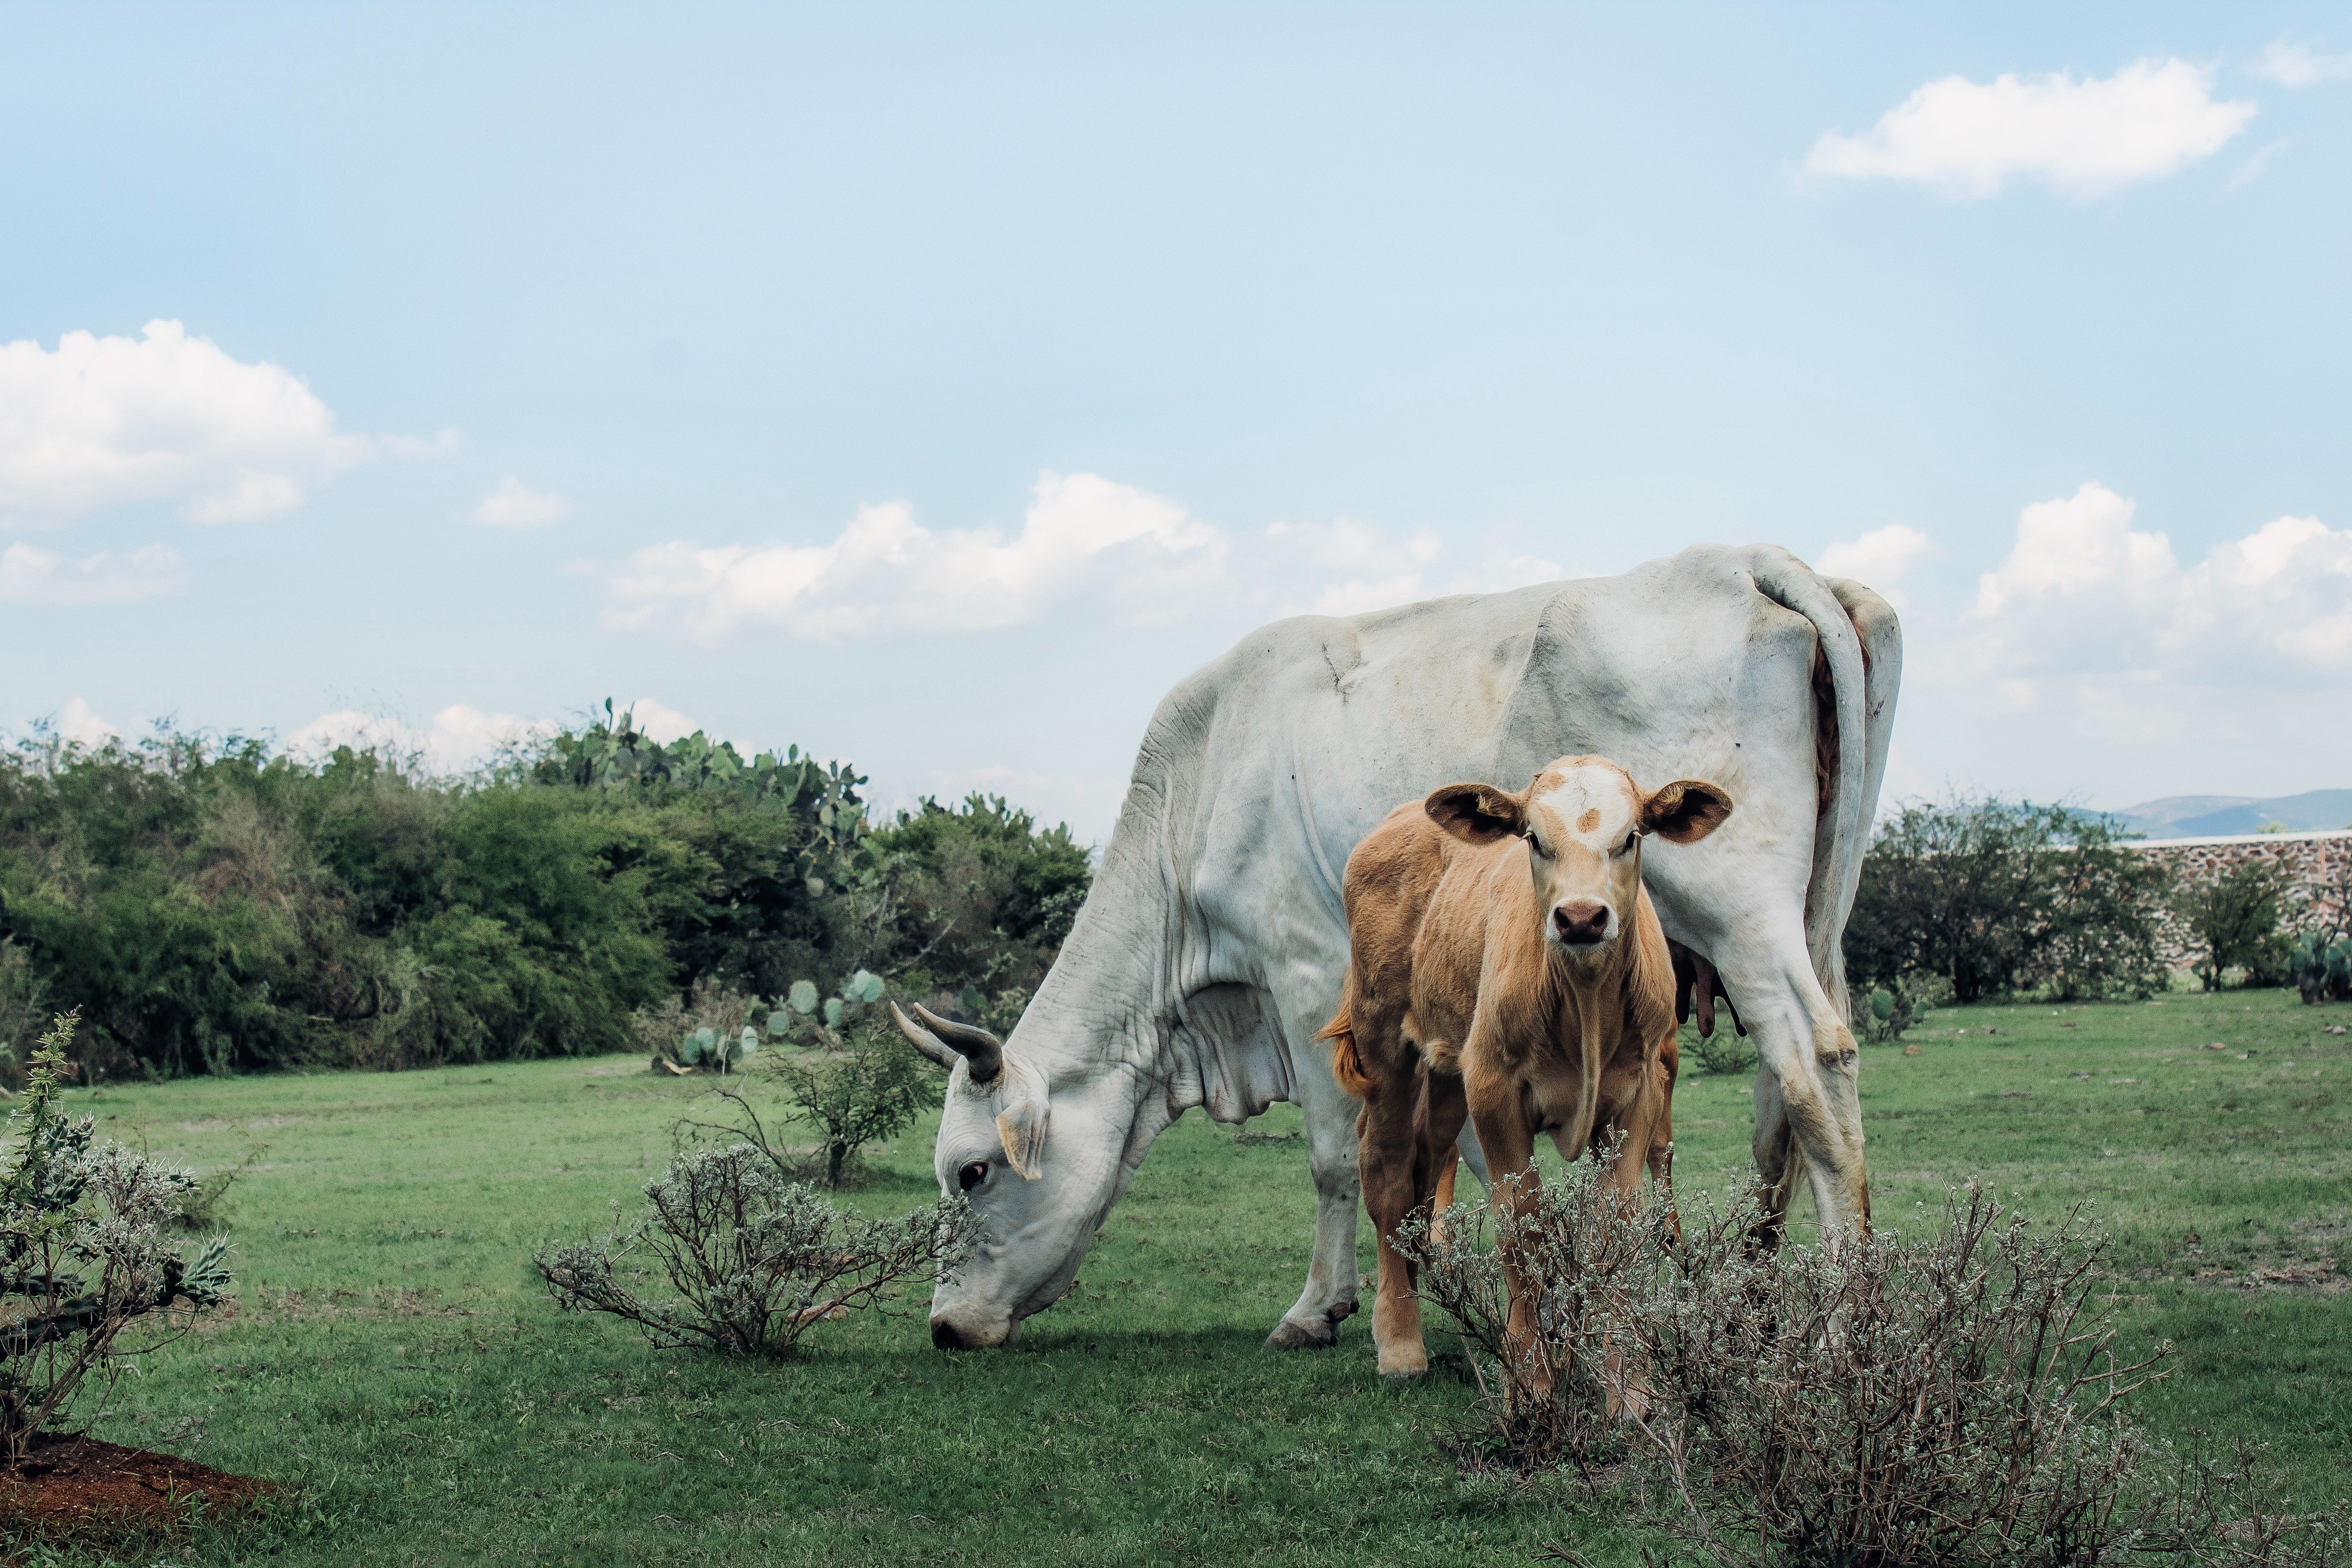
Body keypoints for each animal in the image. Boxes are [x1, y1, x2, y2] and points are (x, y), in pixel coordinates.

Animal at [1326, 752, 1731, 1382]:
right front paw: (1533, 1379)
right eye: (1534, 840)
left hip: (1449, 1071)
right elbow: (1522, 1226)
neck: (1583, 1006)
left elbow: (1614, 1227)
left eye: (1630, 837)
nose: (1582, 918)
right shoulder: (1495, 1091)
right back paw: (1399, 1339)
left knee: (1426, 1161)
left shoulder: (1639, 1095)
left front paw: (1627, 1387)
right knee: (1388, 1169)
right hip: (1386, 1043)